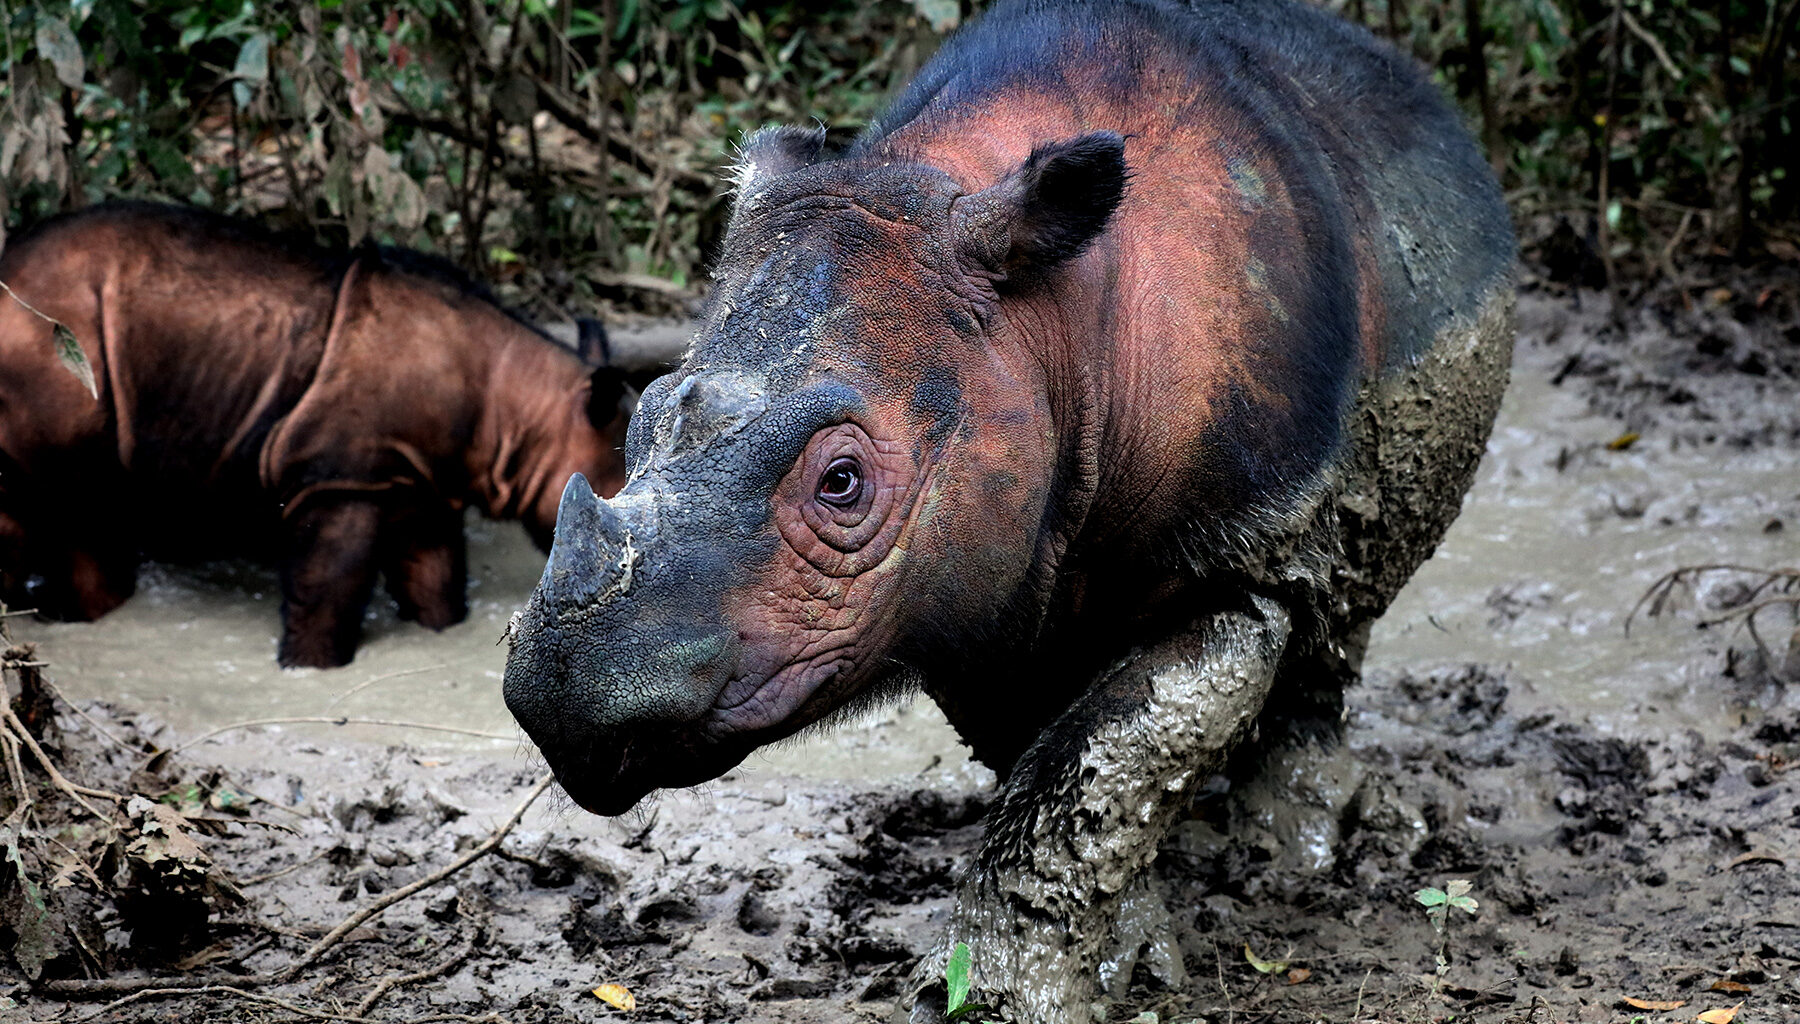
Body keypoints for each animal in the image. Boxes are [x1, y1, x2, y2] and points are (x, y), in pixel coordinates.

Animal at [503, 0, 1515, 1017]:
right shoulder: (960, 579)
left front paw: (1001, 997)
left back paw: (1295, 852)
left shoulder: (1236, 540)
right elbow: (1064, 768)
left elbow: (1100, 750)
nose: (562, 697)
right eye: (645, 422)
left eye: (842, 484)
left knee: (1336, 597)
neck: (1048, 329)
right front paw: (1117, 949)